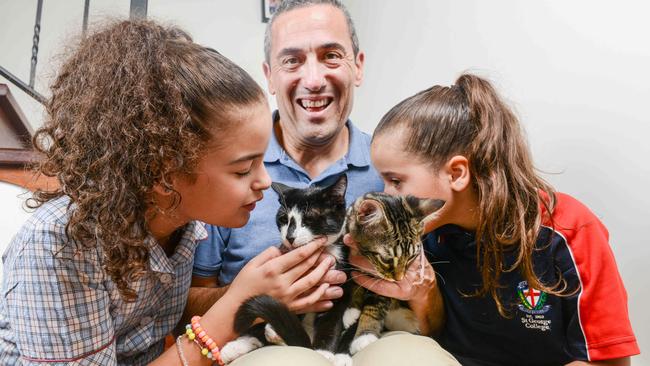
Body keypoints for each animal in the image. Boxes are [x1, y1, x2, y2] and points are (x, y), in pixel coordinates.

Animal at [220, 176, 442, 364]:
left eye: (309, 219)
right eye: (283, 219)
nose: (289, 238)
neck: (324, 252)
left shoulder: (342, 283)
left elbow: (334, 318)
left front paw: (323, 352)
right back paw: (241, 344)